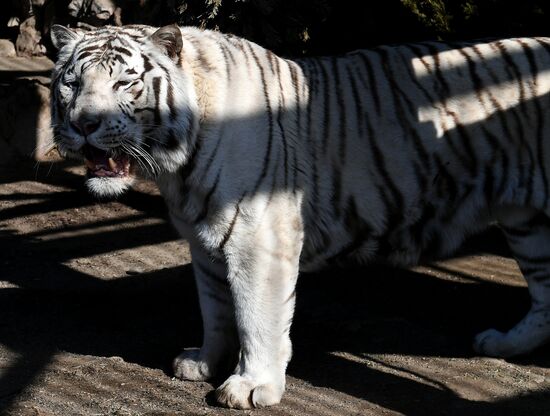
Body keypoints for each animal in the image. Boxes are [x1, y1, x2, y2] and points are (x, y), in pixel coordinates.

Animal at [49, 24, 550, 408]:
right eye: (71, 84)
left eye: (124, 84)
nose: (84, 124)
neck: (177, 167)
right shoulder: (204, 242)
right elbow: (215, 309)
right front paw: (205, 362)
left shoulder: (259, 240)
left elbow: (255, 315)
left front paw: (251, 387)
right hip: (528, 222)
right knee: (544, 298)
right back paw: (504, 344)